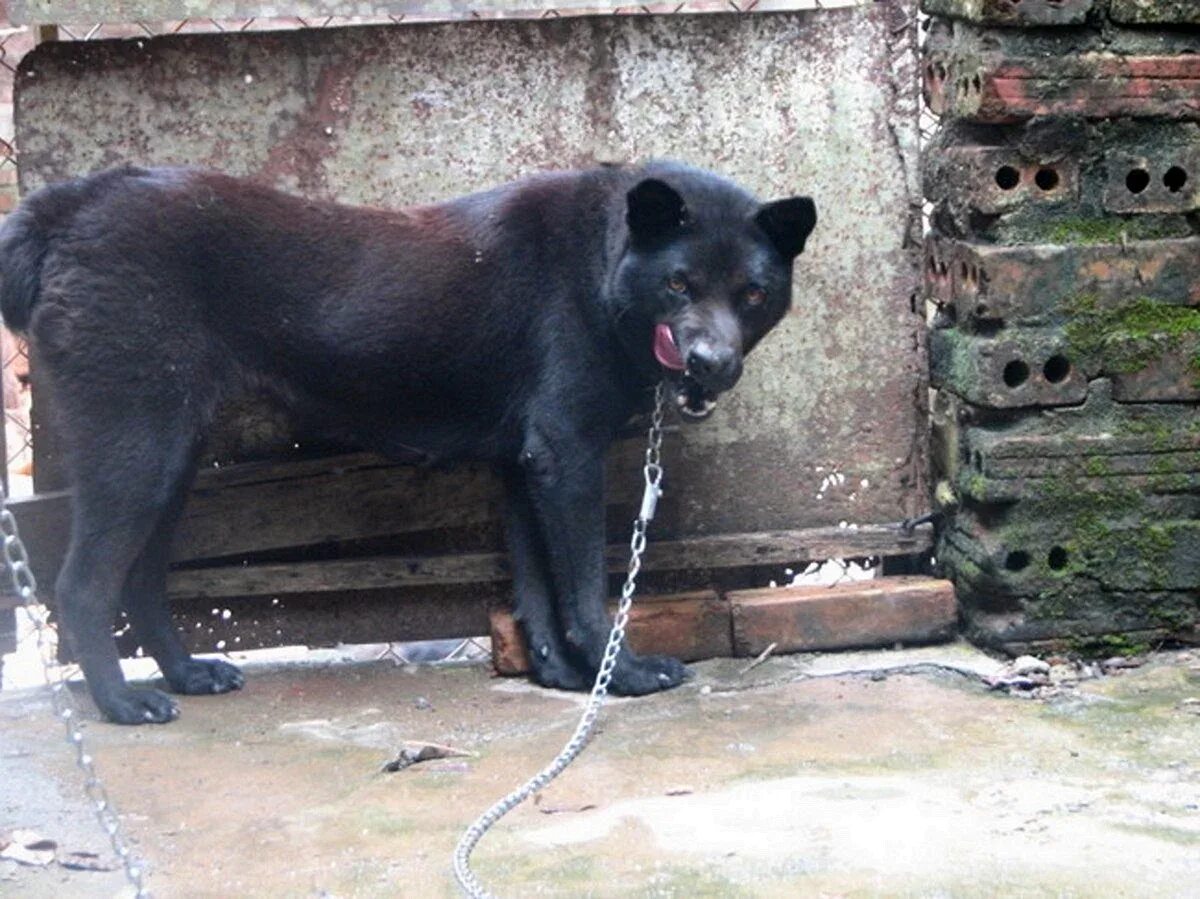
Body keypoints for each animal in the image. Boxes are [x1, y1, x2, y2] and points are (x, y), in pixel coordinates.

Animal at [0, 160, 816, 720]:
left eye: (752, 293)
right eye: (679, 284)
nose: (712, 363)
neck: (600, 265)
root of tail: (69, 205)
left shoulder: (525, 465)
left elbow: (536, 586)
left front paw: (559, 674)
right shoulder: (567, 457)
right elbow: (585, 588)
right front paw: (620, 676)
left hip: (169, 459)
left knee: (140, 580)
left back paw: (187, 675)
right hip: (136, 452)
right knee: (80, 585)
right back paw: (121, 705)